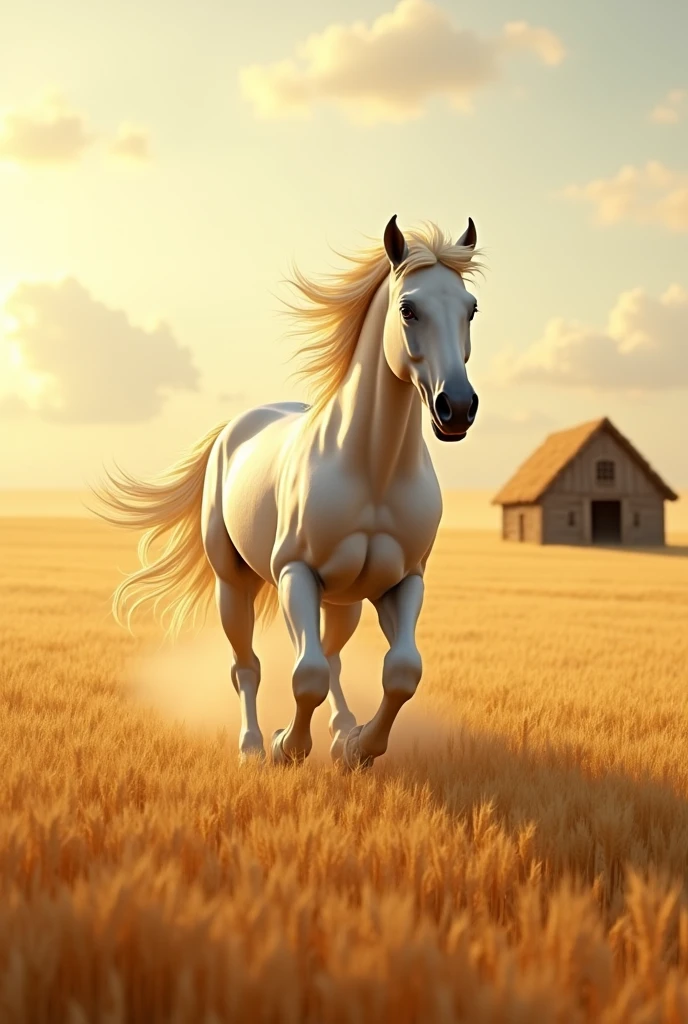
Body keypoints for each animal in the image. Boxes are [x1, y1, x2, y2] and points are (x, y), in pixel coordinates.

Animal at [96, 220, 483, 770]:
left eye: (471, 308)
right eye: (408, 308)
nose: (458, 407)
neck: (372, 471)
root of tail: (235, 427)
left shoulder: (404, 581)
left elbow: (402, 671)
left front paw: (359, 747)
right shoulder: (295, 574)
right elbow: (307, 675)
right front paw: (288, 747)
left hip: (346, 599)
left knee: (335, 655)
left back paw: (341, 729)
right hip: (233, 586)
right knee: (248, 666)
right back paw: (252, 746)